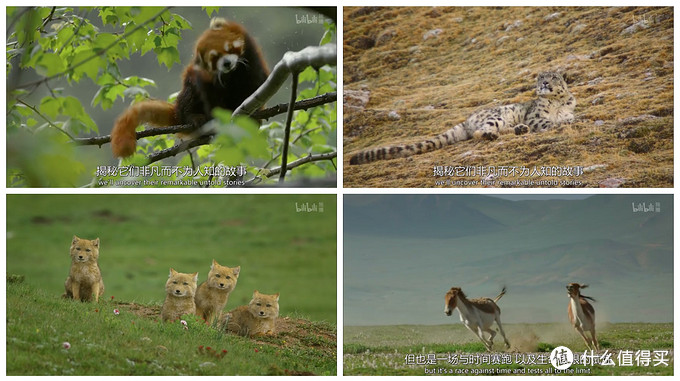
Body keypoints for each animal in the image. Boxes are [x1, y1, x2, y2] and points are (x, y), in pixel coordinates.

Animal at [110, 17, 270, 157]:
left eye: (228, 48)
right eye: (214, 58)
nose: (226, 64)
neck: (234, 72)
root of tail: (177, 113)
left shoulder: (253, 63)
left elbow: (254, 85)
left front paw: (254, 114)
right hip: (188, 91)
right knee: (190, 99)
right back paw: (196, 118)